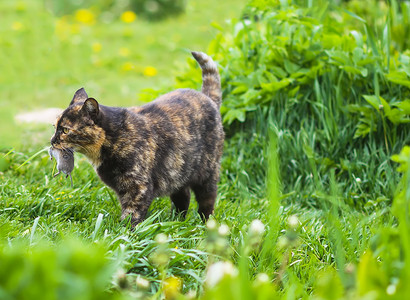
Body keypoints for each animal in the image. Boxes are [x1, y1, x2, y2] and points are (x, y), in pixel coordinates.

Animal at [51, 51, 226, 226]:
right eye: (54, 126)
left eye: (65, 130)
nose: (52, 141)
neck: (115, 138)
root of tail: (207, 98)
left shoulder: (138, 188)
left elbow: (132, 214)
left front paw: (124, 231)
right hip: (178, 171)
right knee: (183, 197)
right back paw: (176, 222)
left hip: (207, 174)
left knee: (207, 200)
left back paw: (205, 224)